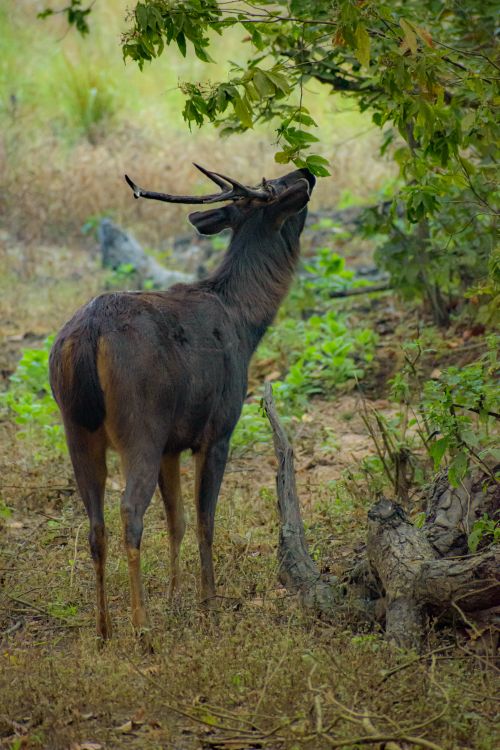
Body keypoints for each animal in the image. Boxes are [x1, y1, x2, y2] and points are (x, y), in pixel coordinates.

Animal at [49, 164, 315, 644]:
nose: (306, 170)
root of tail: (90, 334)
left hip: (76, 427)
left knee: (96, 524)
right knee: (129, 512)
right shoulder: (218, 429)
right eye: (279, 187)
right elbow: (206, 520)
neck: (245, 322)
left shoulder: (173, 443)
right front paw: (208, 603)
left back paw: (104, 629)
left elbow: (178, 520)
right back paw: (142, 628)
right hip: (140, 424)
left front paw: (175, 598)